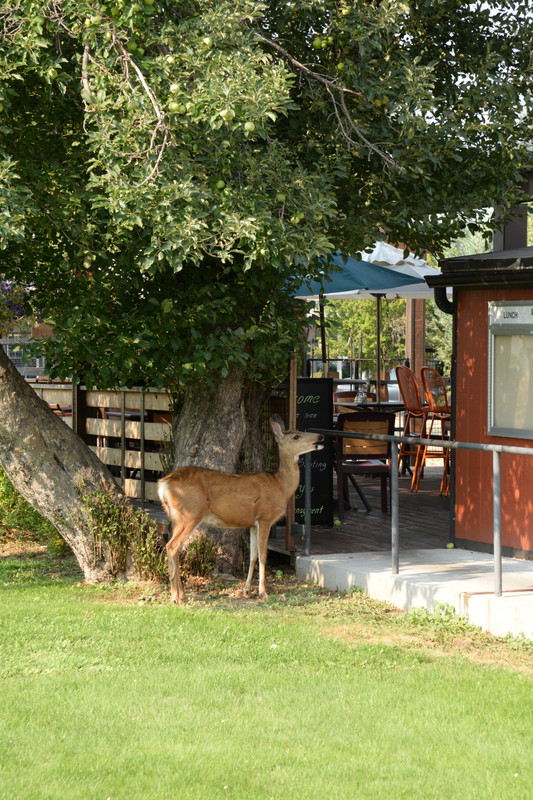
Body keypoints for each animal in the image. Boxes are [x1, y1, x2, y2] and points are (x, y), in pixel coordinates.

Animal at [157, 416, 324, 604]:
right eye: (296, 436)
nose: (321, 436)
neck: (281, 486)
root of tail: (164, 483)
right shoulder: (265, 517)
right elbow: (263, 555)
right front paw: (263, 593)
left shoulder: (252, 523)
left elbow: (252, 556)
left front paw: (246, 590)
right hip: (189, 514)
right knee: (172, 547)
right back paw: (177, 597)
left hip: (177, 517)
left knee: (171, 547)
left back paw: (180, 595)